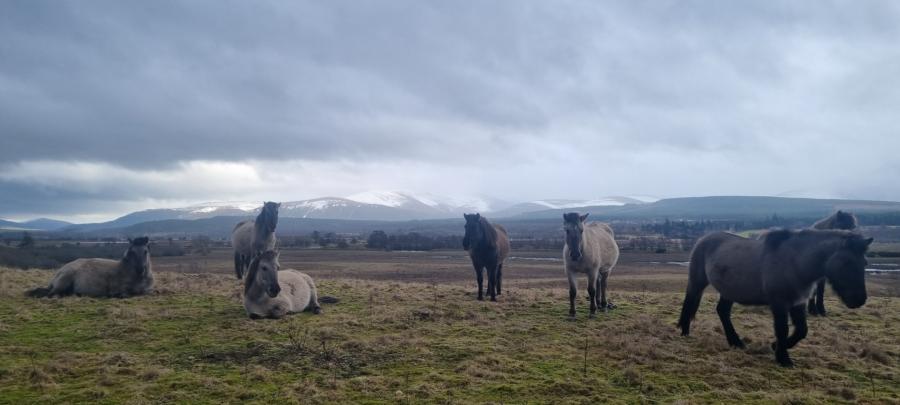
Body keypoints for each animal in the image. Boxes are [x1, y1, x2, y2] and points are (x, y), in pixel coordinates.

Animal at [678, 229, 871, 367]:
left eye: (864, 263)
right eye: (847, 262)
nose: (859, 300)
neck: (795, 262)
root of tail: (703, 239)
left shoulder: (798, 302)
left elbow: (802, 330)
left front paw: (776, 346)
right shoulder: (779, 304)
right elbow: (782, 329)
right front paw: (783, 358)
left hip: (729, 290)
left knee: (723, 312)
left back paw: (736, 342)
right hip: (697, 282)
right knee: (690, 302)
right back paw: (685, 331)